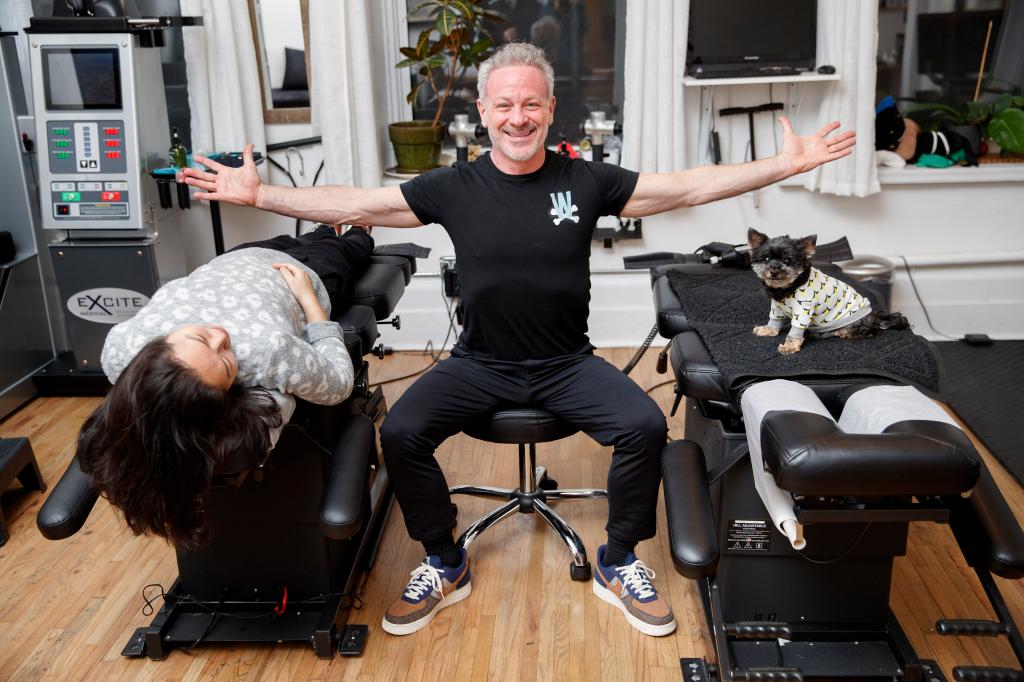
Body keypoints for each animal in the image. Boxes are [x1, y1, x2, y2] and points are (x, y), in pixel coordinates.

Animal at [749, 228, 909, 356]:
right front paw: (768, 330)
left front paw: (790, 346)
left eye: (787, 260)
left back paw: (842, 332)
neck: (787, 288)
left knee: (866, 332)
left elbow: (795, 331)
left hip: (855, 322)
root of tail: (875, 316)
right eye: (766, 258)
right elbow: (774, 321)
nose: (774, 270)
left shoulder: (804, 309)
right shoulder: (776, 308)